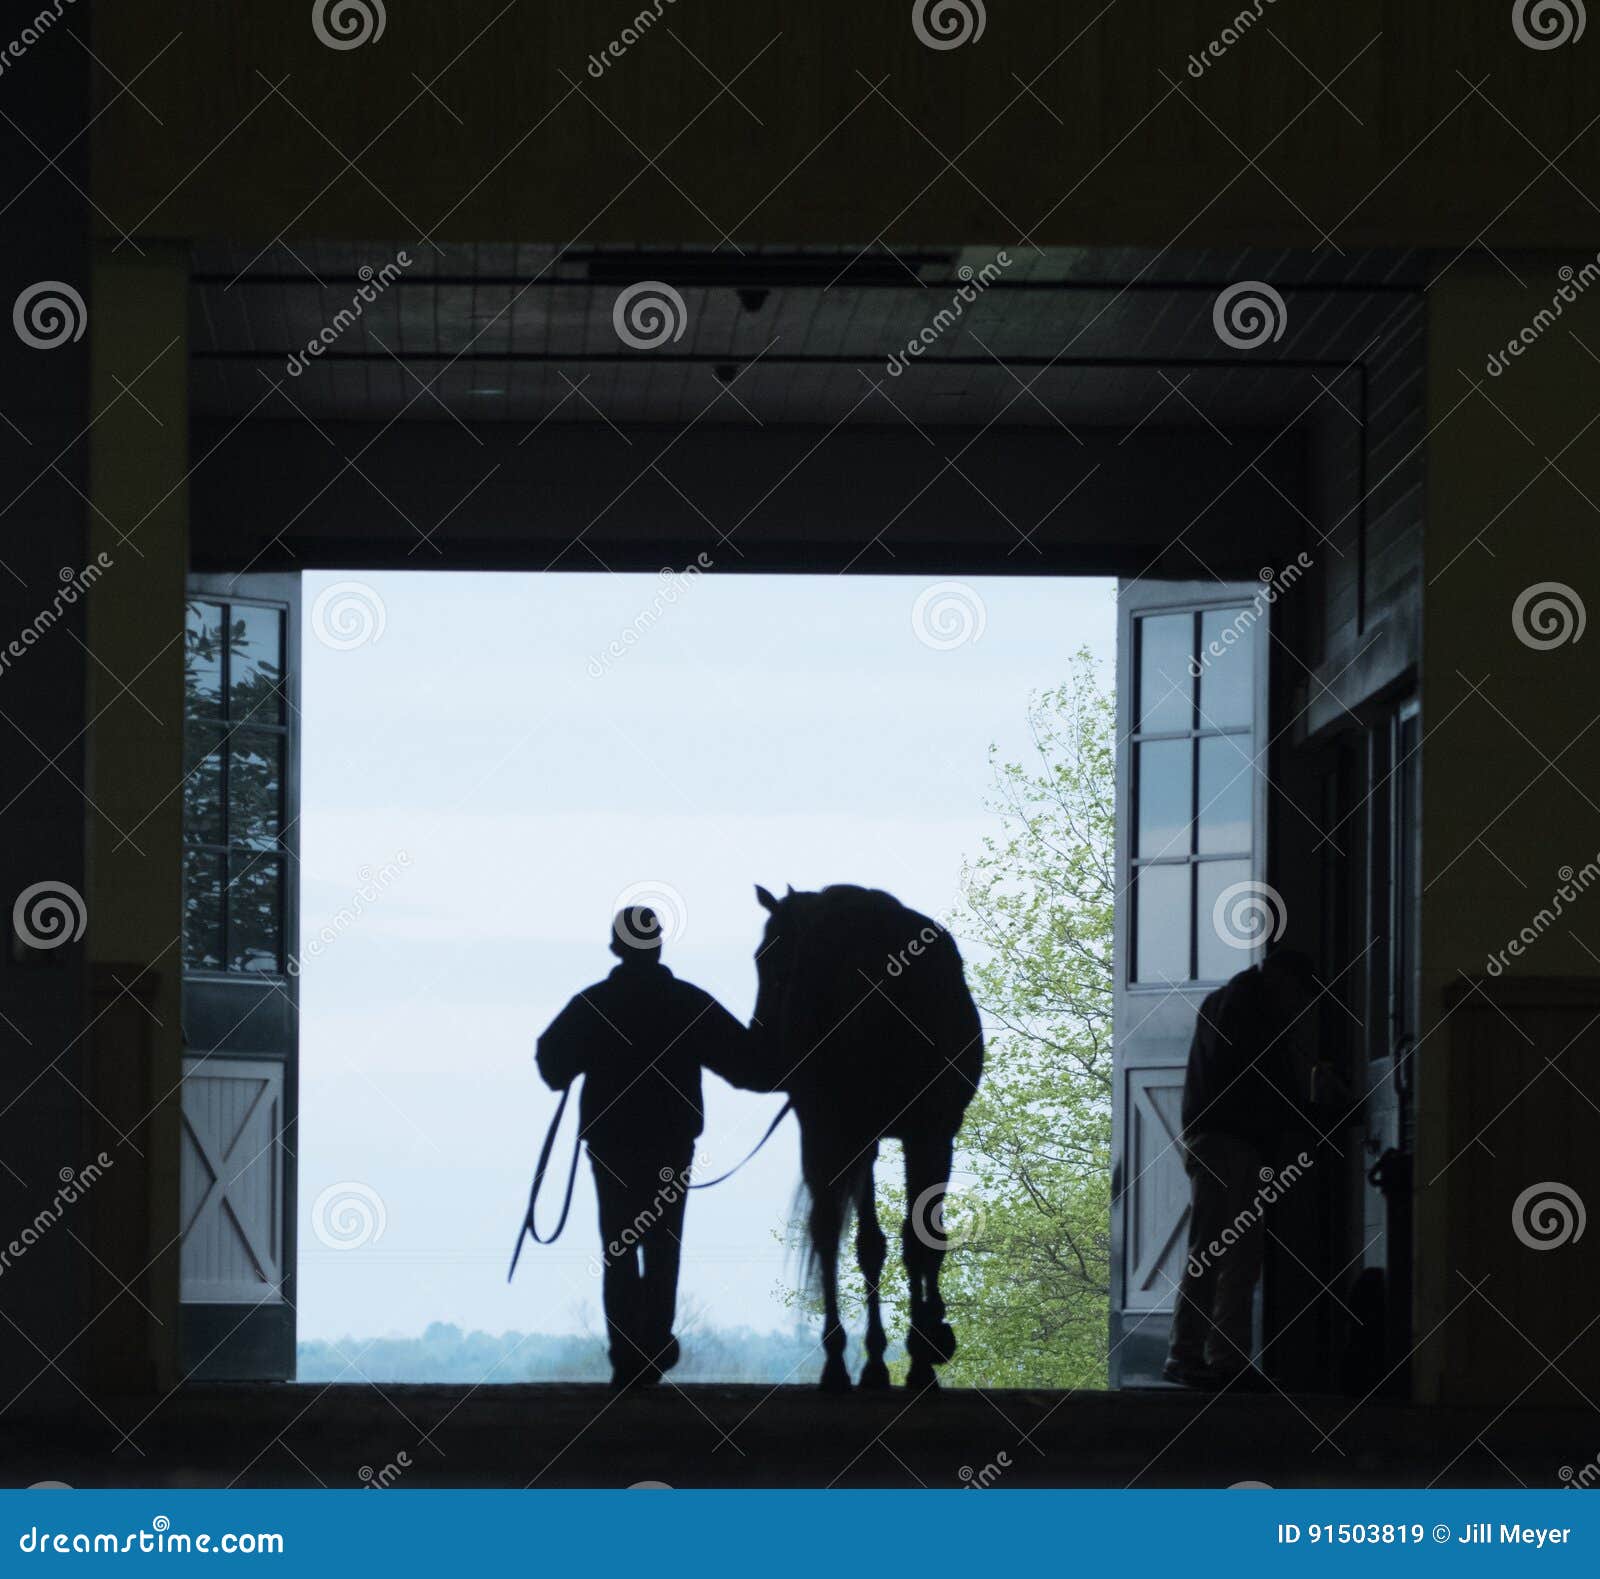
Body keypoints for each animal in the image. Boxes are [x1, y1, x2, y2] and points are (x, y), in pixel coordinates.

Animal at [750, 883, 984, 1391]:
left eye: (770, 964)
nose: (763, 1059)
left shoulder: (908, 1135)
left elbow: (902, 1239)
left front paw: (915, 1348)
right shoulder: (909, 1134)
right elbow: (890, 1241)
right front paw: (907, 1352)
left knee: (831, 1232)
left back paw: (844, 1361)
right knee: (845, 1235)